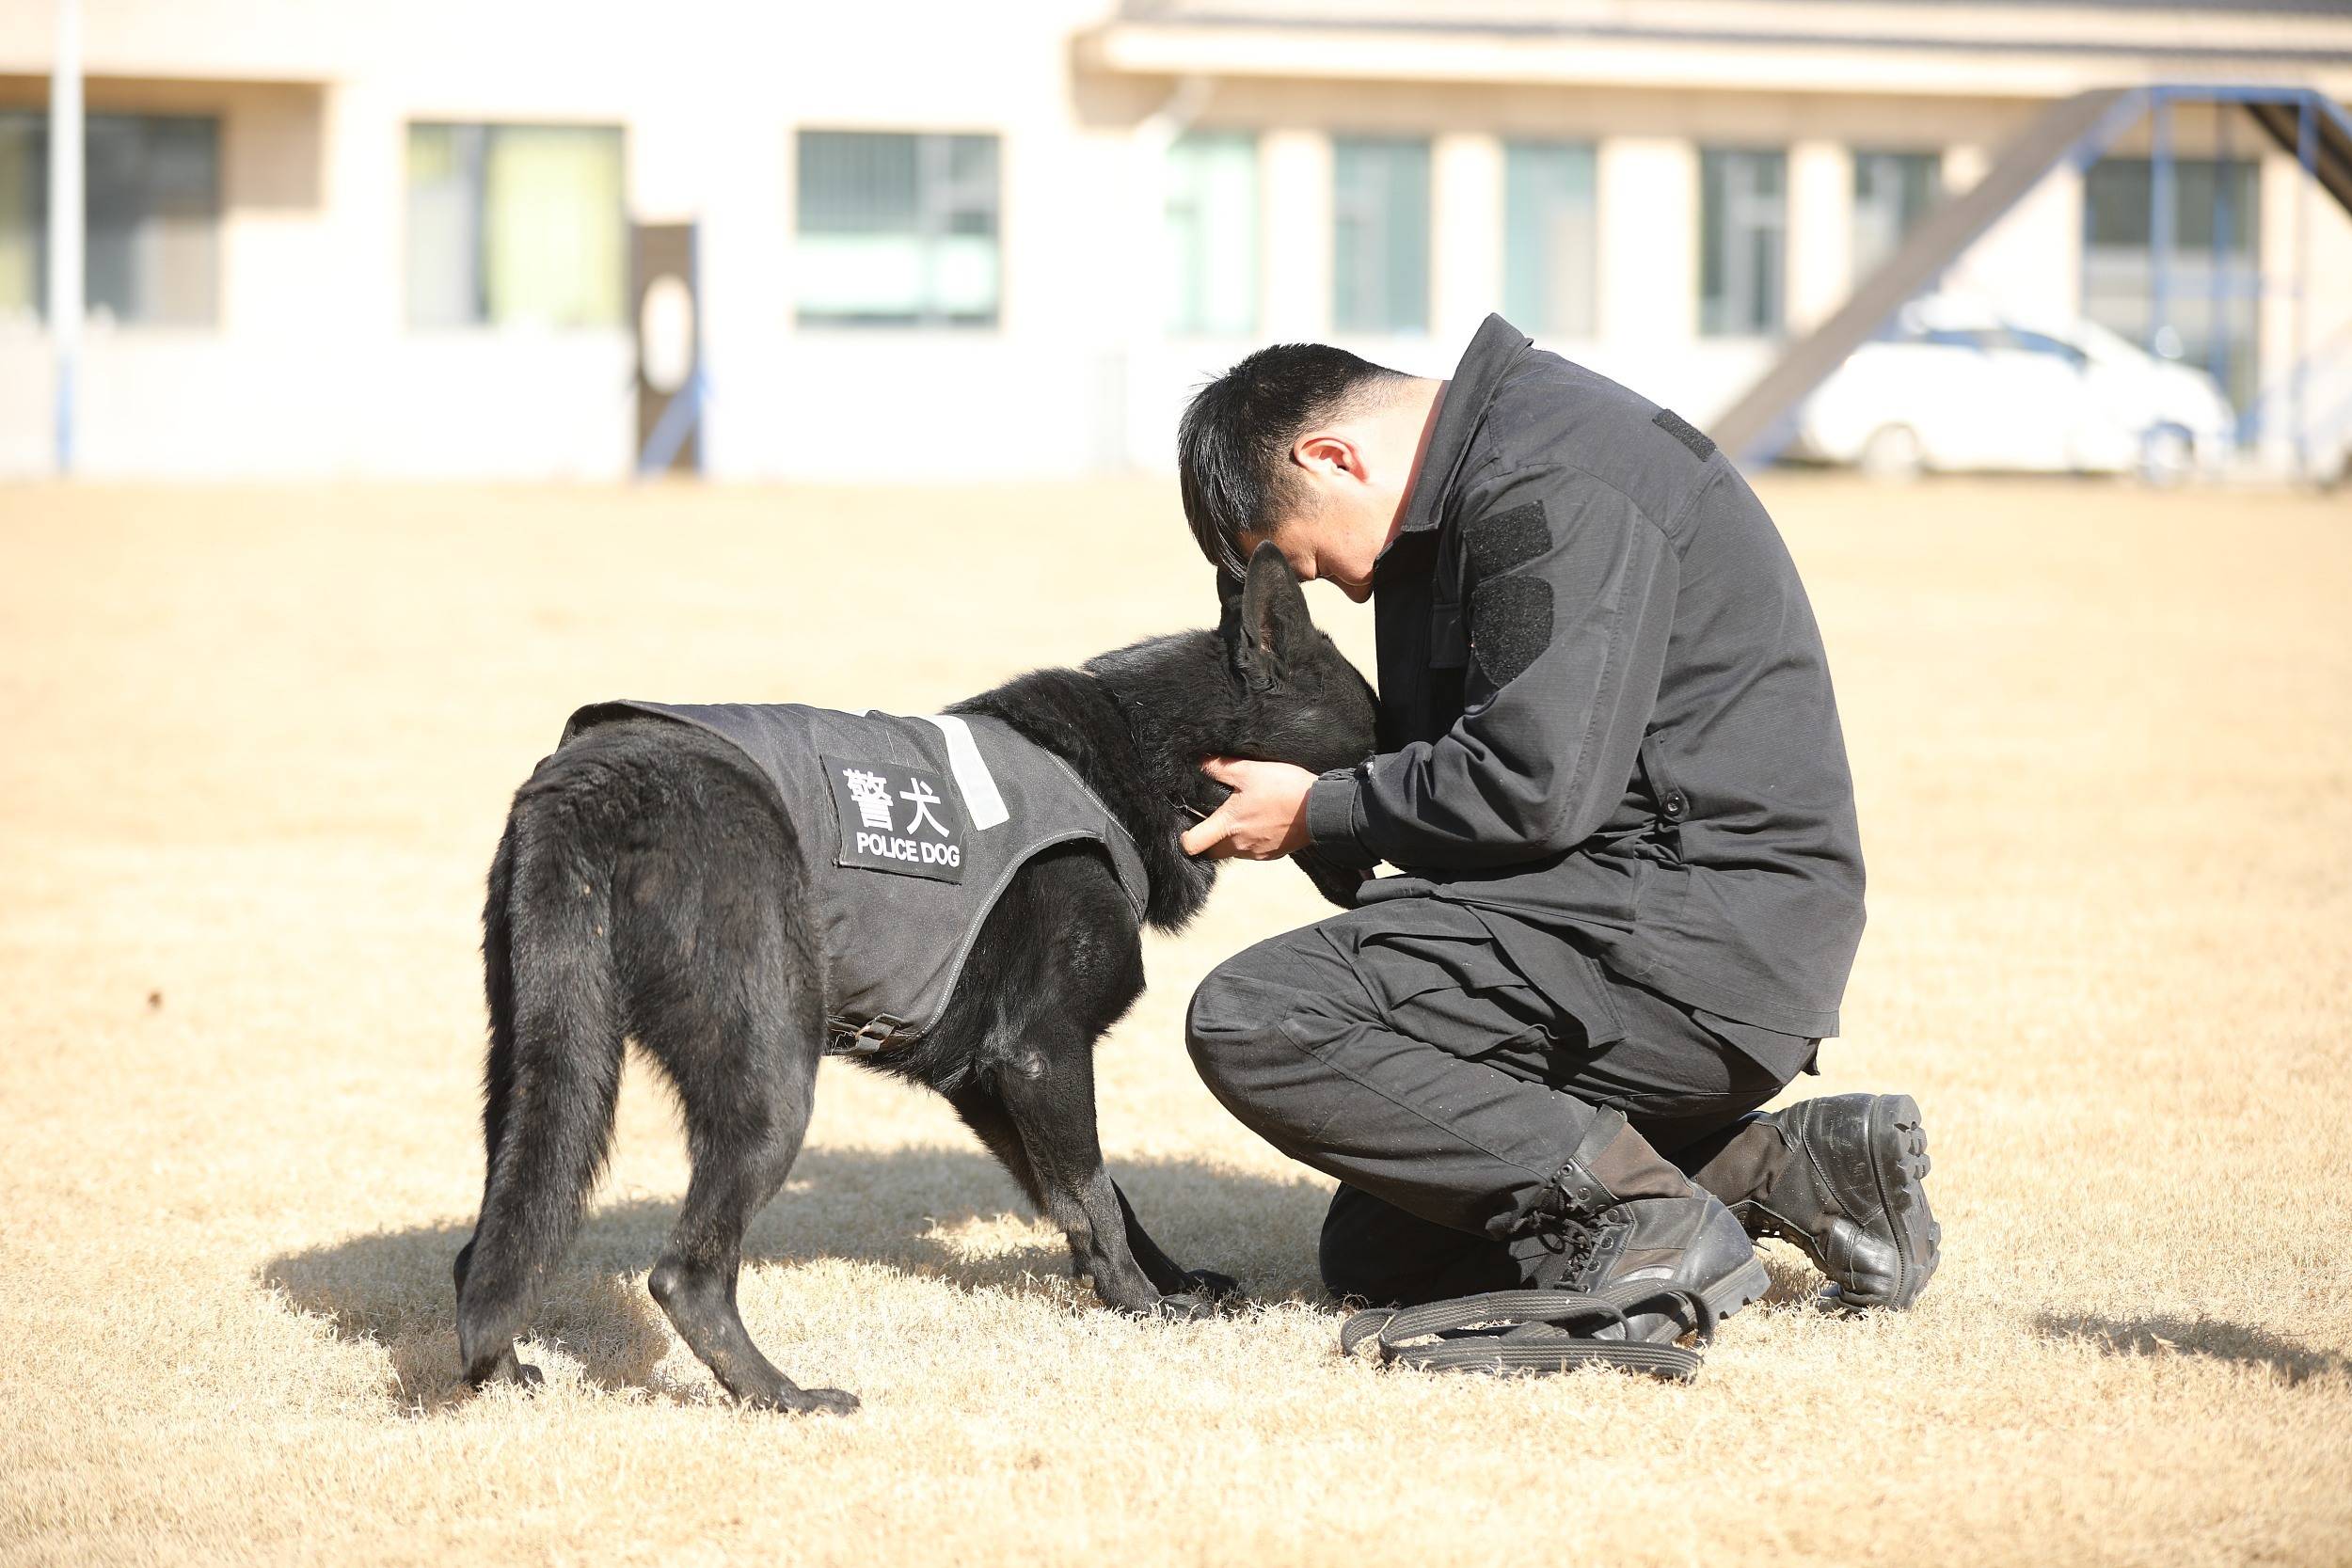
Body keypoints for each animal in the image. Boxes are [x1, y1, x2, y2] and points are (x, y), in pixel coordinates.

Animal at [453, 545, 1374, 1419]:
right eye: (1370, 746)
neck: (1135, 759)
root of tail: (597, 783)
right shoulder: (1042, 1055)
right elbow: (1094, 1194)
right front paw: (1144, 1303)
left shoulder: (986, 1078)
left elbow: (1095, 1195)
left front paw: (1167, 1282)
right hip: (770, 1077)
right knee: (684, 1274)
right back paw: (782, 1395)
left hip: (543, 1068)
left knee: (488, 1248)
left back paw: (504, 1371)